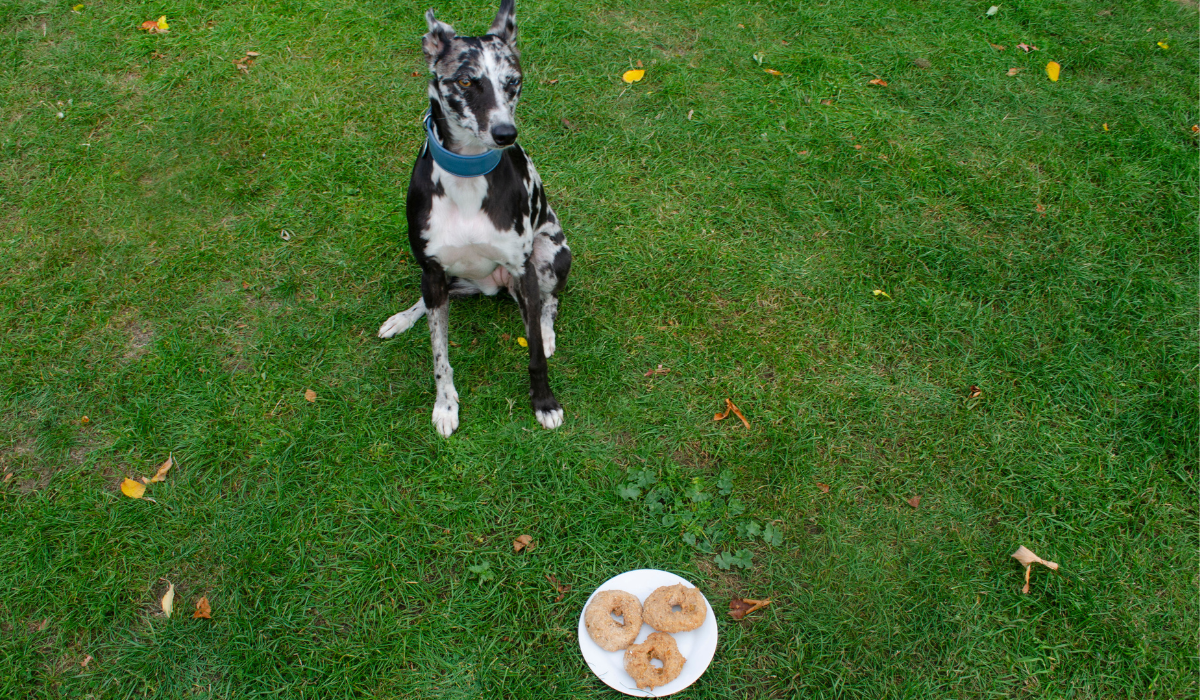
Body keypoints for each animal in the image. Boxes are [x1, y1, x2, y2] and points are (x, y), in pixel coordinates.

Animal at [381, 1, 573, 437]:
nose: (505, 133)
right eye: (466, 81)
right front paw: (445, 404)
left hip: (551, 253)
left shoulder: (524, 269)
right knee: (429, 301)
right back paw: (402, 318)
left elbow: (535, 353)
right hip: (448, 279)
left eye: (513, 82)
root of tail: (493, 286)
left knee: (550, 301)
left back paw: (548, 328)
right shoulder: (432, 272)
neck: (467, 175)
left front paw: (544, 402)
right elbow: (439, 355)